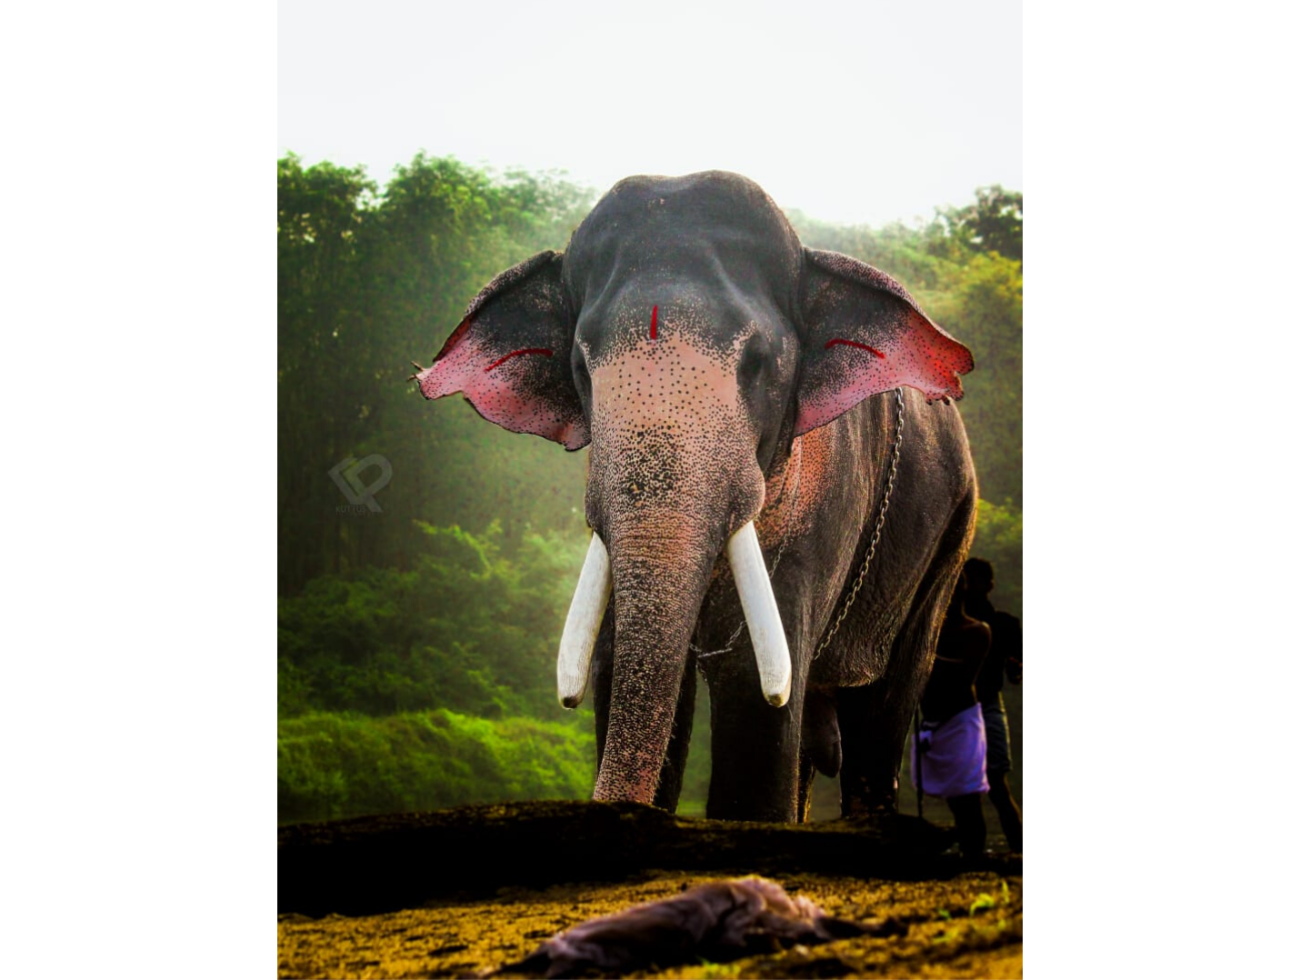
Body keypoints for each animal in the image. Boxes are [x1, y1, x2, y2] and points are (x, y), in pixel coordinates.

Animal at [412, 171, 977, 823]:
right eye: (581, 365)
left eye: (757, 363)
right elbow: (618, 667)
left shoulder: (822, 510)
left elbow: (755, 695)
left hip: (949, 538)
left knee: (883, 712)